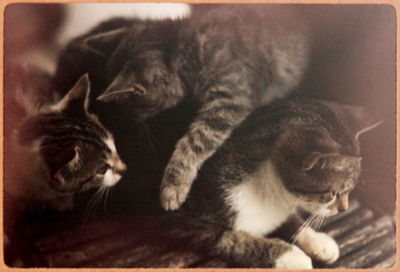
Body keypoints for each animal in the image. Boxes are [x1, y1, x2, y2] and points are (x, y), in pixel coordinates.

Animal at [52, 4, 310, 210]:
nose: (130, 120)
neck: (182, 47)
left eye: (131, 107)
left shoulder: (229, 98)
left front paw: (173, 188)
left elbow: (196, 141)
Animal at [158, 95, 380, 268]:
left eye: (349, 191)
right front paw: (290, 256)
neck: (270, 193)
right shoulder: (179, 218)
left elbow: (292, 220)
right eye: (335, 193)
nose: (343, 209)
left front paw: (319, 243)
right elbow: (229, 238)